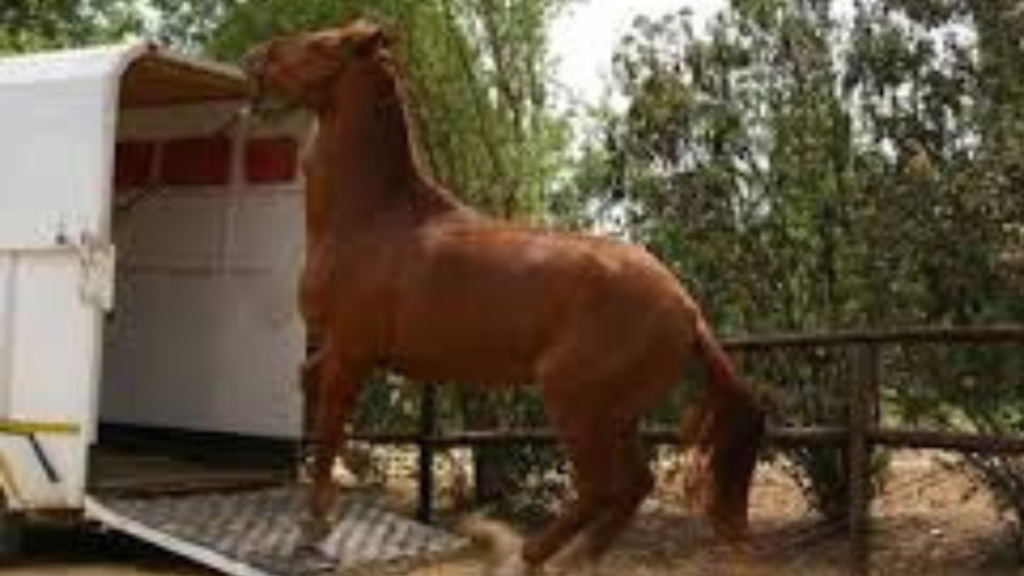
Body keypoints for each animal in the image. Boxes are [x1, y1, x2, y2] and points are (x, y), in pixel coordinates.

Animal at [245, 20, 761, 569]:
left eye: (324, 43)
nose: (254, 59)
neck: (372, 219)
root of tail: (688, 310)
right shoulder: (338, 349)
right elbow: (309, 387)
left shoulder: (351, 351)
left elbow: (328, 429)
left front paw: (315, 526)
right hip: (618, 415)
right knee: (634, 486)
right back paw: (574, 561)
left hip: (575, 402)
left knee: (602, 487)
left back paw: (528, 555)